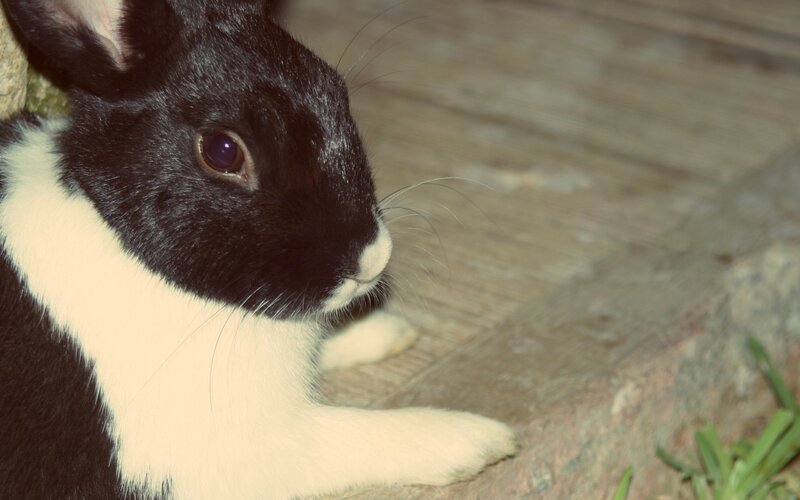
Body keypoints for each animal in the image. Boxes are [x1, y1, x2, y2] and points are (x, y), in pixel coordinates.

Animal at [0, 0, 517, 498]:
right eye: (223, 151)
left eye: (336, 90)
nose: (370, 259)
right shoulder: (227, 455)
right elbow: (356, 436)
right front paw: (477, 440)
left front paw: (384, 331)